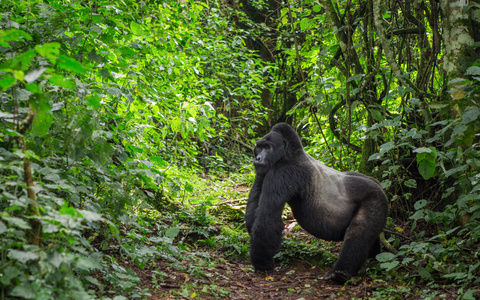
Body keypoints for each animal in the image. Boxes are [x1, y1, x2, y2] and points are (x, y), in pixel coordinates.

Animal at [246, 123, 388, 284]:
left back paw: (340, 273)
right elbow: (253, 215)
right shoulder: (264, 171)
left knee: (358, 233)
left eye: (267, 147)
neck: (290, 152)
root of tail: (378, 185)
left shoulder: (282, 171)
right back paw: (373, 257)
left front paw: (262, 263)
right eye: (259, 147)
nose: (257, 158)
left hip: (375, 198)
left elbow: (267, 220)